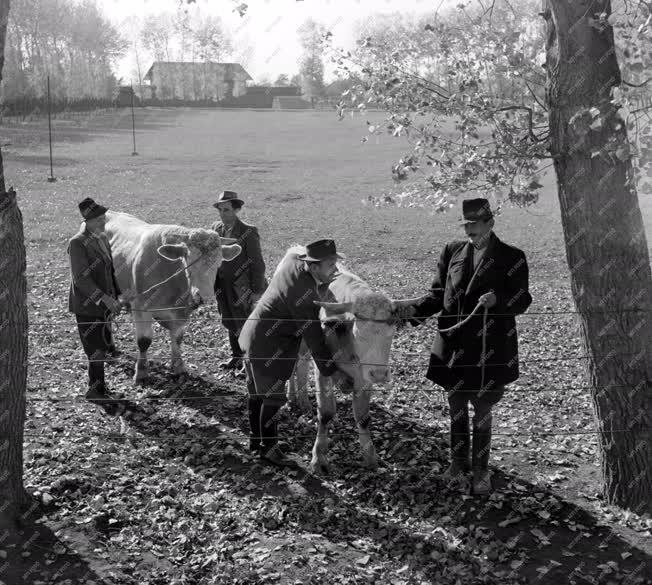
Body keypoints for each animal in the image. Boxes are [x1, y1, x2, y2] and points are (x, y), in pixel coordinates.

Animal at [105, 210, 242, 384]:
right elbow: (144, 341)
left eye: (218, 264)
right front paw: (141, 372)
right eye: (189, 263)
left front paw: (179, 367)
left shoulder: (180, 313)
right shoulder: (141, 306)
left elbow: (177, 338)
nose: (205, 296)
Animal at [286, 249, 422, 472]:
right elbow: (326, 413)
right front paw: (319, 457)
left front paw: (370, 456)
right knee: (298, 363)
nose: (380, 374)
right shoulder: (323, 370)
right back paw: (294, 398)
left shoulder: (364, 378)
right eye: (359, 331)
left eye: (392, 329)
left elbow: (363, 417)